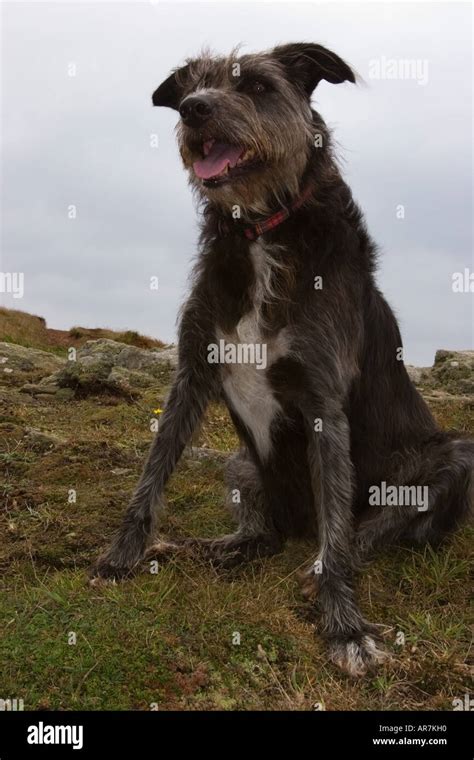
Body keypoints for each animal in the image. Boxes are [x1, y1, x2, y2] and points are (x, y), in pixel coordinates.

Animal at [90, 43, 474, 676]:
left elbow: (338, 533)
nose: (194, 110)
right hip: (242, 466)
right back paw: (209, 547)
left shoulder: (323, 400)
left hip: (451, 461)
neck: (258, 232)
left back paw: (311, 572)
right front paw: (120, 557)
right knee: (264, 534)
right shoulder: (192, 371)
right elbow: (151, 474)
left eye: (256, 86)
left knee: (361, 531)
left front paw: (344, 627)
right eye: (192, 86)